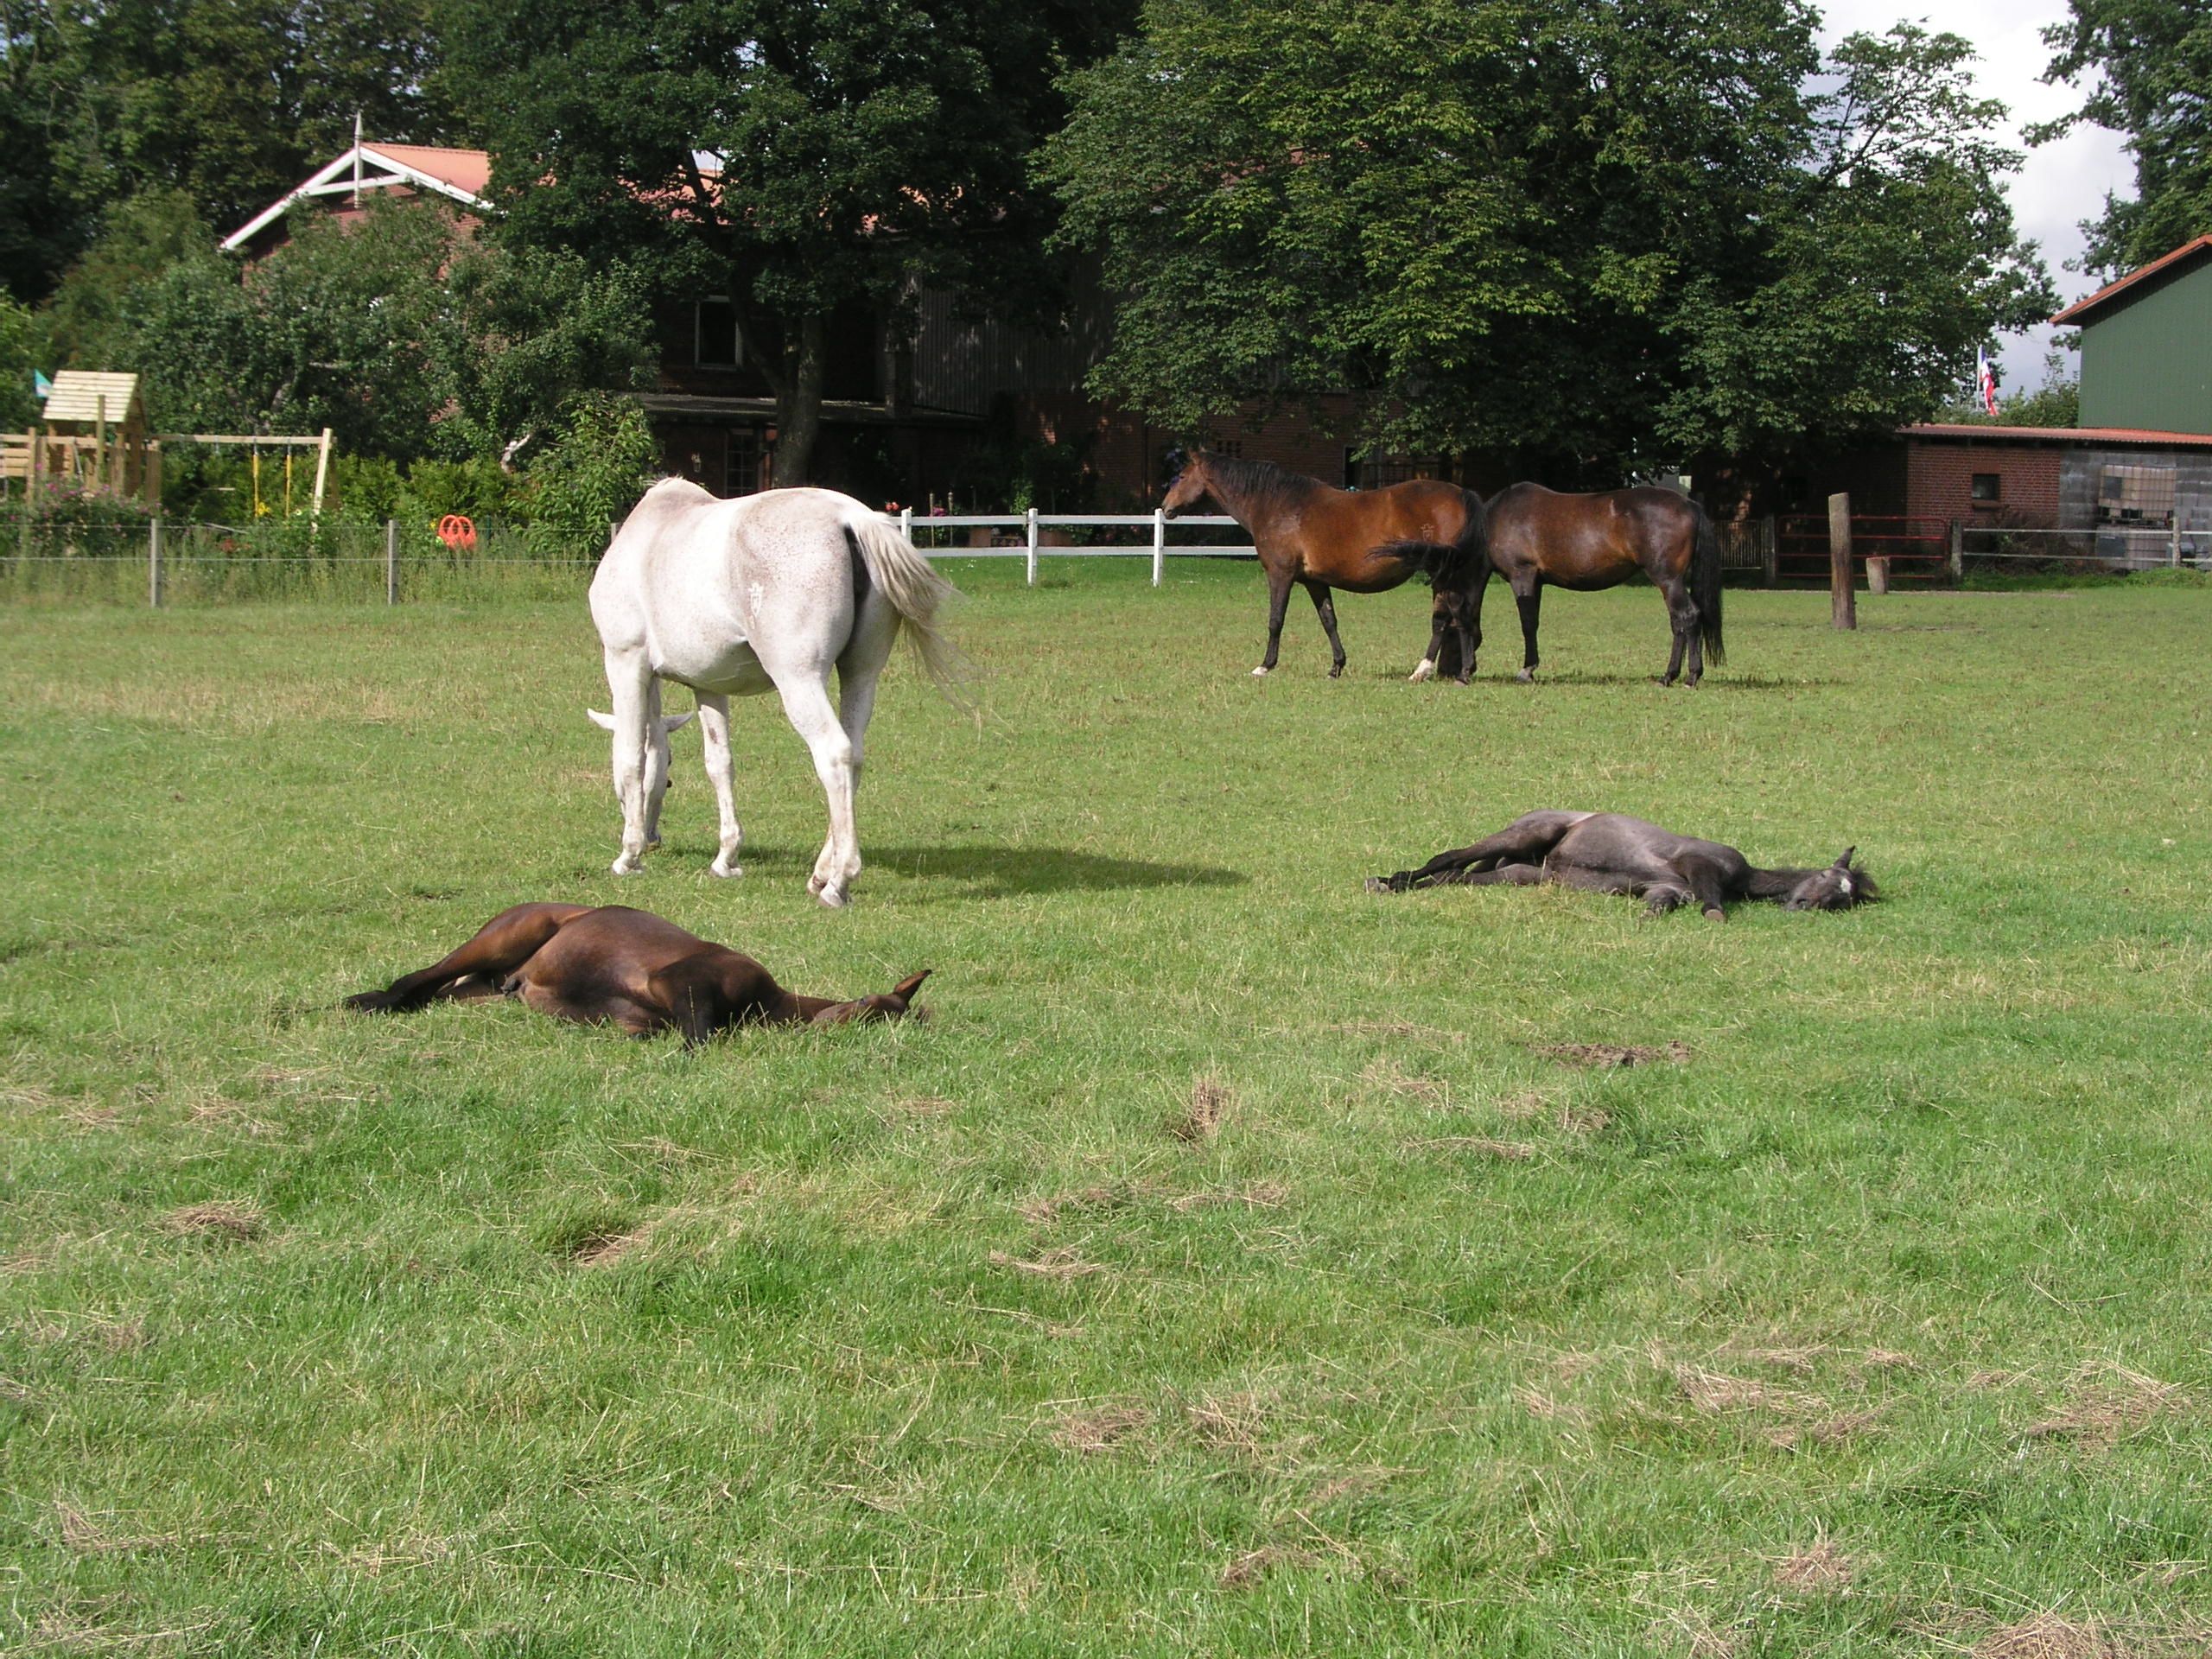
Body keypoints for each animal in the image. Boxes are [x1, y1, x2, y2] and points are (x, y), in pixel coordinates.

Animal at [588, 480, 960, 911]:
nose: (652, 840)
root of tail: (850, 519)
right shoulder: (709, 686)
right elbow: (719, 764)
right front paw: (726, 859)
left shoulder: (626, 663)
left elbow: (631, 758)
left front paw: (628, 856)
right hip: (861, 676)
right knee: (854, 758)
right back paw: (821, 873)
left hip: (799, 680)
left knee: (834, 754)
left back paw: (838, 882)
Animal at [1159, 451, 1486, 677]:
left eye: (1183, 476)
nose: (1166, 507)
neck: (1278, 504)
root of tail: (1463, 494)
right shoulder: (1315, 582)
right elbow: (1329, 621)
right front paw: (1336, 666)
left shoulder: (1280, 575)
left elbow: (1275, 620)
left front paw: (1265, 666)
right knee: (1444, 619)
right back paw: (1425, 670)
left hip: (1443, 574)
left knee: (1456, 615)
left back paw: (1460, 671)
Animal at [1442, 480, 1734, 690]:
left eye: (1450, 628)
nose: (1453, 674)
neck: (1493, 523)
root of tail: (1689, 504)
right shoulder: (1536, 582)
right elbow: (1533, 623)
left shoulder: (1522, 575)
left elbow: (1526, 624)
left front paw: (1526, 671)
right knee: (1679, 623)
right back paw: (1670, 676)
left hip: (1668, 580)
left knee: (1688, 617)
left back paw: (1688, 678)